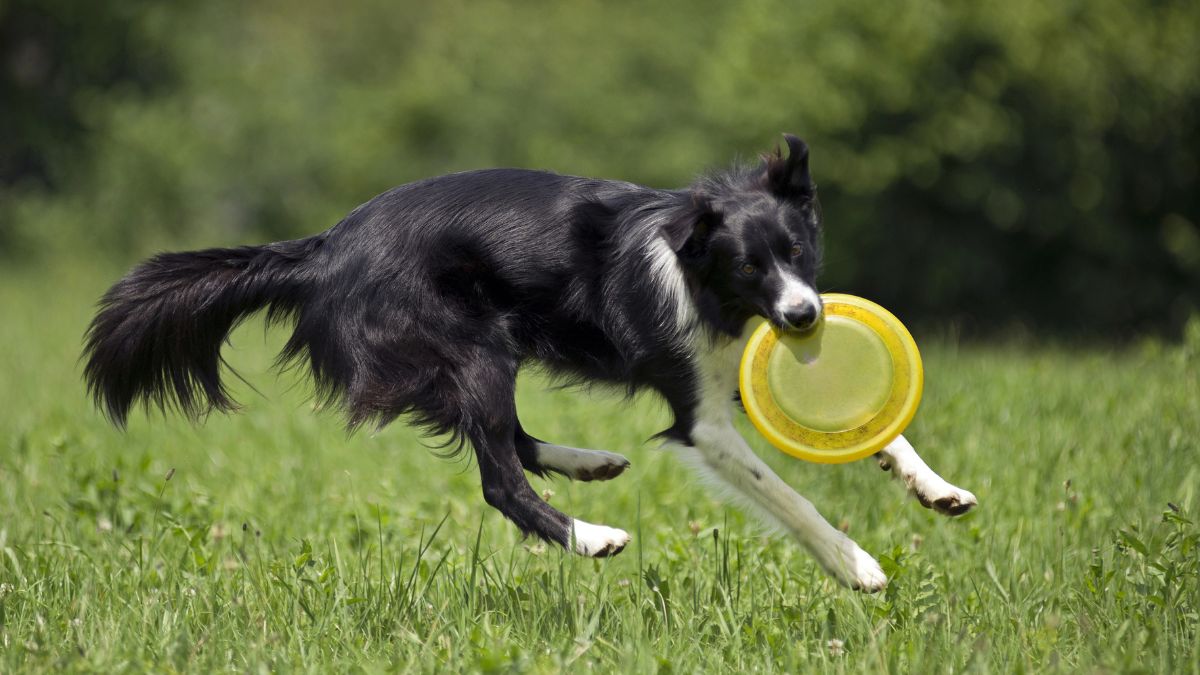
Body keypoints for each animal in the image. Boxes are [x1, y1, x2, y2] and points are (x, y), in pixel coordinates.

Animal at [88, 135, 979, 588]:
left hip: (485, 349)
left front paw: (936, 487)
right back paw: (591, 536)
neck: (703, 276)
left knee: (510, 439)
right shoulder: (702, 418)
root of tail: (324, 247)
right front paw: (856, 563)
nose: (803, 317)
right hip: (470, 346)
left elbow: (878, 429)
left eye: (797, 251)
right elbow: (787, 493)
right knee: (499, 477)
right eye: (749, 266)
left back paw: (590, 464)